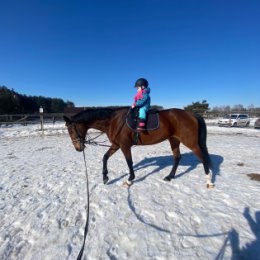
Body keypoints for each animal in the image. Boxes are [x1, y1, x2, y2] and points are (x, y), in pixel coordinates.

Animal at [64, 106, 214, 188]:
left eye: (71, 130)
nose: (78, 148)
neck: (113, 121)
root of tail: (191, 114)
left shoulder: (124, 146)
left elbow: (129, 162)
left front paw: (130, 180)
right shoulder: (116, 145)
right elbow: (105, 157)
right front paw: (105, 177)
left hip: (191, 143)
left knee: (203, 158)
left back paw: (209, 181)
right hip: (174, 140)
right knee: (177, 157)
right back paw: (169, 176)